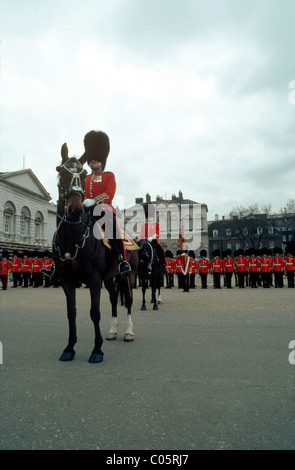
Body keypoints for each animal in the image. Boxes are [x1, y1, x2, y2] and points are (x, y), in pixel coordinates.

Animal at [53, 143, 139, 364]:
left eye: (83, 175)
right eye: (62, 173)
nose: (75, 209)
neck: (73, 237)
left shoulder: (93, 279)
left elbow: (95, 313)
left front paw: (97, 350)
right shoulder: (67, 280)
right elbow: (71, 312)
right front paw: (69, 348)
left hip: (129, 275)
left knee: (128, 299)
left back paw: (128, 332)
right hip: (109, 278)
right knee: (114, 298)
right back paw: (113, 331)